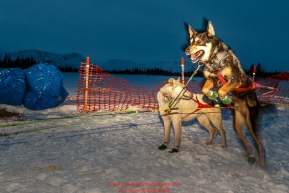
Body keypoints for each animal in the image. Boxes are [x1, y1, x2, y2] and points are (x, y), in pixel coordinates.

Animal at [186, 21, 264, 167]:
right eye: (191, 41)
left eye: (199, 41)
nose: (186, 50)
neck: (215, 59)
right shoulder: (210, 78)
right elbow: (205, 90)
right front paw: (213, 96)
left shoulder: (236, 80)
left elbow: (223, 89)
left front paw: (225, 98)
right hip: (238, 126)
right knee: (245, 141)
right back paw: (250, 155)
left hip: (251, 124)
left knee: (259, 143)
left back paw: (262, 161)